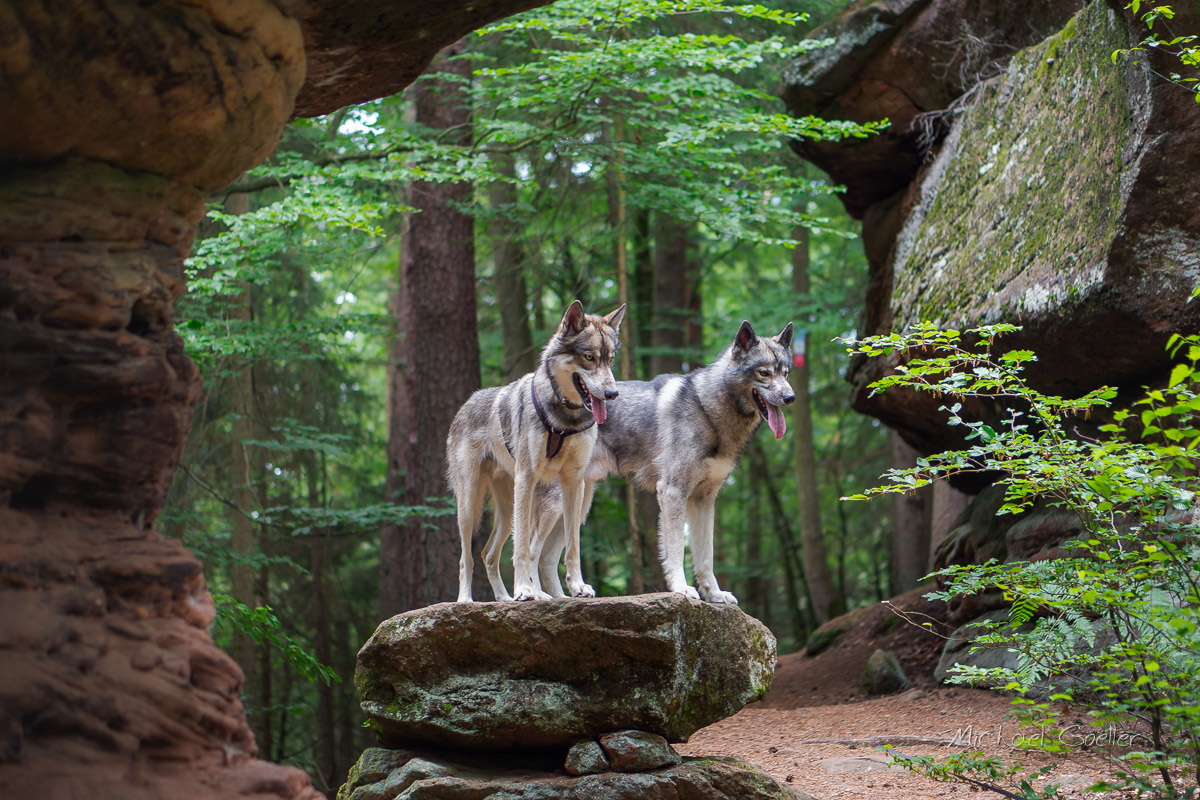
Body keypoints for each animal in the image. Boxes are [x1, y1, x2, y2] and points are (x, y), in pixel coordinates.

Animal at [447, 300, 626, 603]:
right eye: (589, 357)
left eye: (610, 359)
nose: (612, 394)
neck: (564, 419)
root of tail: (467, 402)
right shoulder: (527, 478)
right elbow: (522, 548)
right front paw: (524, 589)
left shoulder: (574, 482)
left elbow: (573, 546)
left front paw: (578, 587)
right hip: (472, 504)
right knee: (466, 557)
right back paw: (466, 600)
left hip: (509, 510)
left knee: (488, 553)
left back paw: (504, 599)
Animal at [534, 320, 794, 604]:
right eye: (764, 373)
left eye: (786, 373)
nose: (791, 397)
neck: (707, 408)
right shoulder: (672, 492)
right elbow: (677, 551)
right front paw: (682, 588)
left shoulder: (704, 499)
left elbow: (706, 556)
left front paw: (713, 594)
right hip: (559, 507)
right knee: (531, 549)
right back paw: (531, 594)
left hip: (578, 507)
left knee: (547, 558)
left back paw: (566, 597)